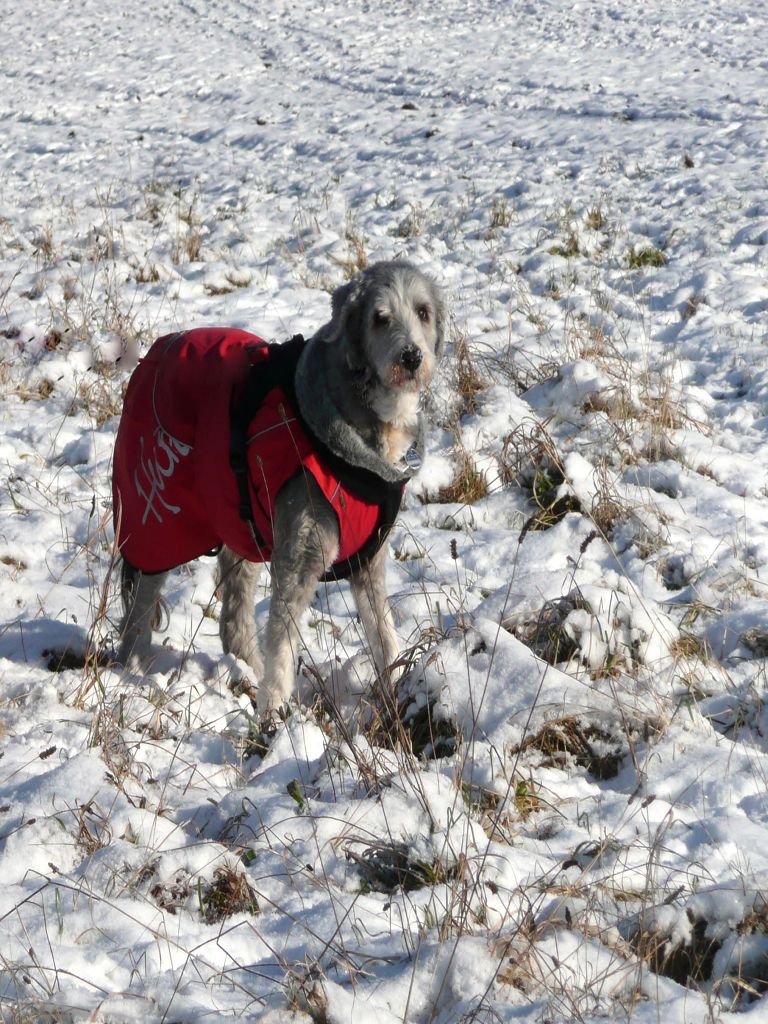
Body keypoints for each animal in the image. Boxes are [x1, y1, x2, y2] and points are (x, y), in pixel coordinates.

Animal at [110, 262, 442, 712]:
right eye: (380, 318)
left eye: (423, 312)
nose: (410, 357)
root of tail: (152, 356)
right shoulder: (301, 552)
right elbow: (283, 639)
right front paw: (275, 710)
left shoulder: (367, 561)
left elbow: (383, 635)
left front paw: (394, 692)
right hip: (155, 516)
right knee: (139, 606)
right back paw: (134, 674)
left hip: (237, 518)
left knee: (233, 616)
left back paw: (246, 669)